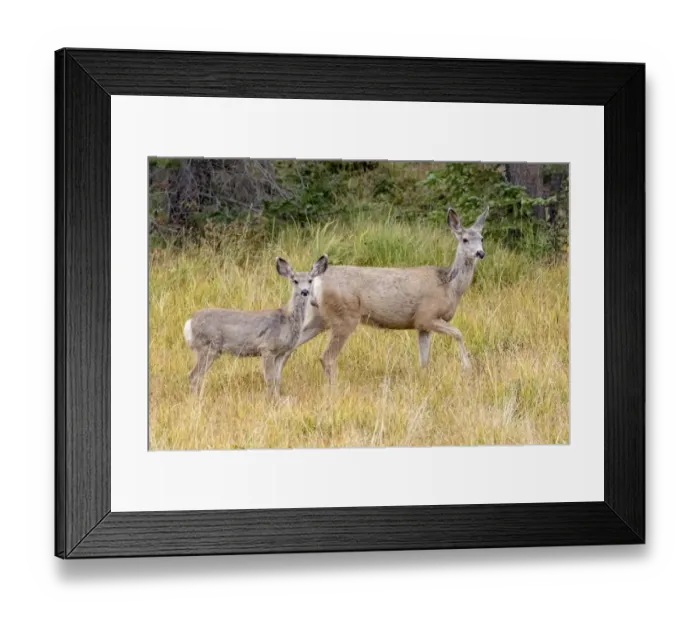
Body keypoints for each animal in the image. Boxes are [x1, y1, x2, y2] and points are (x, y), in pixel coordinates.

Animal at [183, 254, 329, 397]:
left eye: (310, 280)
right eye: (295, 280)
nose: (304, 292)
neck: (286, 320)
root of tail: (189, 322)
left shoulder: (281, 353)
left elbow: (277, 380)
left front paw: (276, 399)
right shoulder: (267, 347)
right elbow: (269, 380)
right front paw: (270, 401)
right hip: (207, 346)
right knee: (193, 375)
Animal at [293, 207, 489, 383]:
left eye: (481, 238)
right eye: (465, 239)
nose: (481, 253)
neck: (449, 286)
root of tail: (316, 281)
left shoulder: (421, 326)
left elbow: (424, 360)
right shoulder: (426, 315)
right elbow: (458, 333)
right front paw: (467, 367)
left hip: (318, 317)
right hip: (344, 316)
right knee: (326, 357)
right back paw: (334, 388)